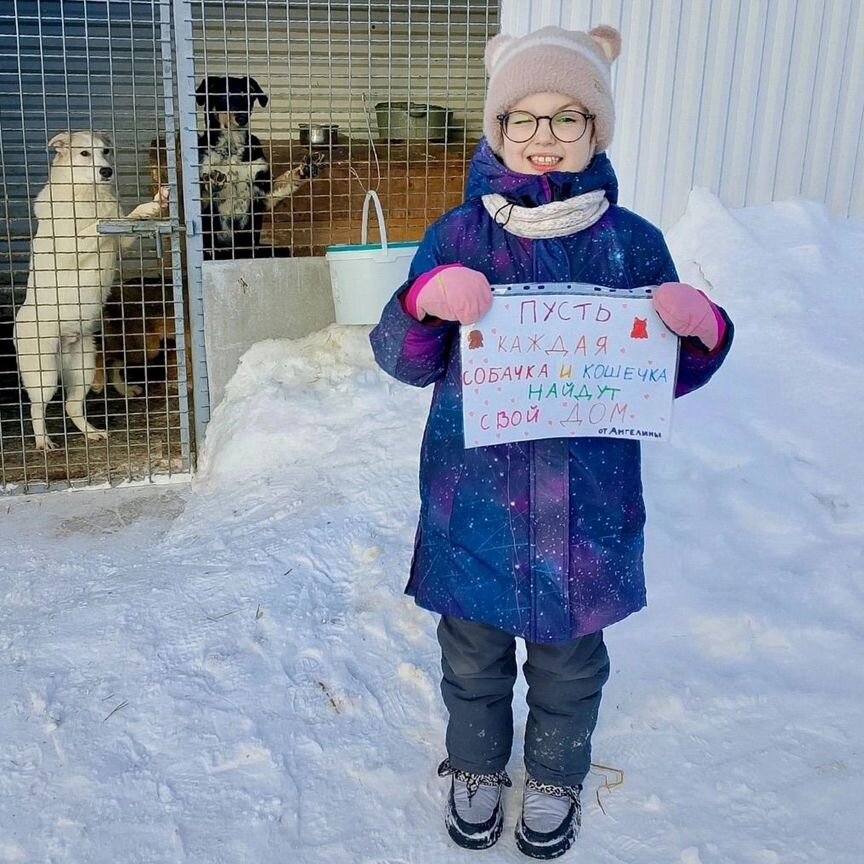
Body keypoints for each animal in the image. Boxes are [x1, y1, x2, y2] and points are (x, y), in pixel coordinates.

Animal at [13, 133, 168, 452]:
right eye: (84, 153)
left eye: (105, 151)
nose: (107, 171)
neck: (88, 193)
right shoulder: (71, 245)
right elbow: (100, 225)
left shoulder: (122, 245)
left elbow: (128, 222)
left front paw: (153, 206)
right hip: (44, 374)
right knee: (37, 407)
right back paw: (43, 441)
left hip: (83, 365)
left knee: (72, 406)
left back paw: (91, 432)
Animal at [194, 76, 326, 258]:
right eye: (223, 96)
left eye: (247, 96)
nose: (242, 118)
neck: (232, 147)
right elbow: (204, 191)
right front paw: (212, 182)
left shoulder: (263, 190)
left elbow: (287, 179)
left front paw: (305, 169)